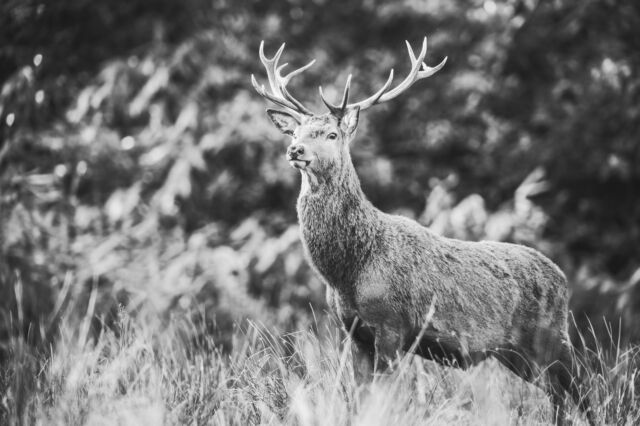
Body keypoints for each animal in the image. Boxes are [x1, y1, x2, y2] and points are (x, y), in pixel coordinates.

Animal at [252, 37, 595, 426]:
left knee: (584, 387)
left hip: (551, 334)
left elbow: (385, 400)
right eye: (296, 132)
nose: (295, 149)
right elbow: (359, 400)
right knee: (557, 394)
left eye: (331, 133)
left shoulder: (392, 324)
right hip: (515, 352)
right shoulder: (353, 332)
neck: (348, 271)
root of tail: (562, 277)